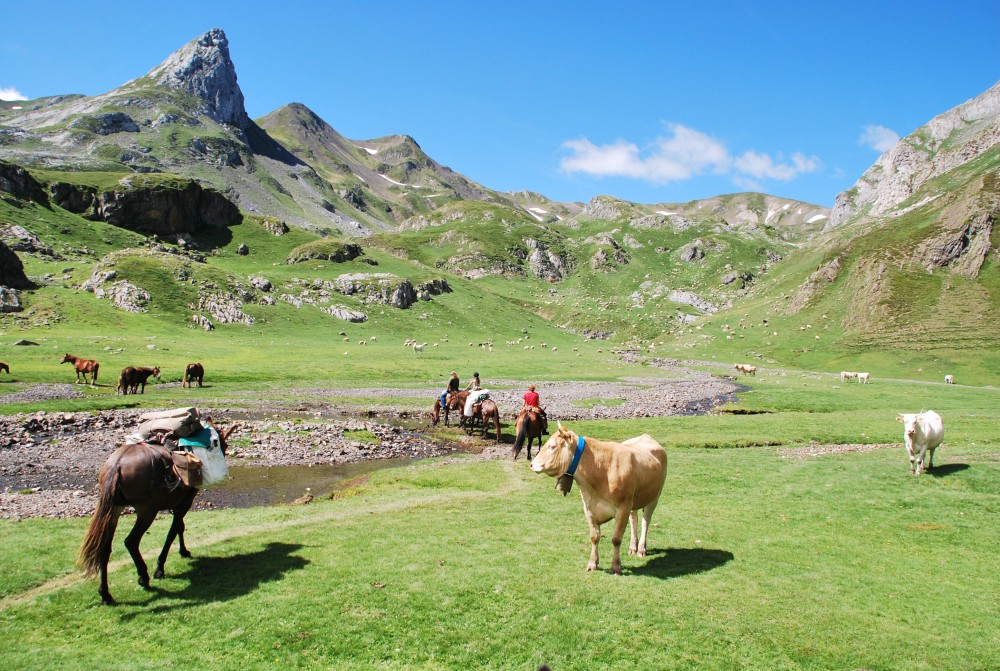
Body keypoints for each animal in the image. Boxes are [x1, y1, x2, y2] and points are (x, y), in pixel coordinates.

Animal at [78, 420, 238, 604]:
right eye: (225, 444)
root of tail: (117, 465)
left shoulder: (178, 503)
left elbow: (179, 527)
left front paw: (183, 552)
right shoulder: (185, 502)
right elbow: (173, 531)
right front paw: (160, 567)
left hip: (114, 510)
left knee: (104, 547)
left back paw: (105, 594)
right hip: (147, 511)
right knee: (131, 541)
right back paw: (144, 577)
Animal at [532, 422, 664, 576]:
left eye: (552, 446)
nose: (532, 464)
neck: (599, 470)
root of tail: (645, 436)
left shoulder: (623, 508)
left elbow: (616, 539)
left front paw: (616, 567)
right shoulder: (589, 508)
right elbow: (594, 537)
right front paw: (592, 563)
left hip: (654, 497)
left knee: (645, 521)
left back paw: (641, 548)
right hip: (634, 500)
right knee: (634, 519)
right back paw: (633, 547)